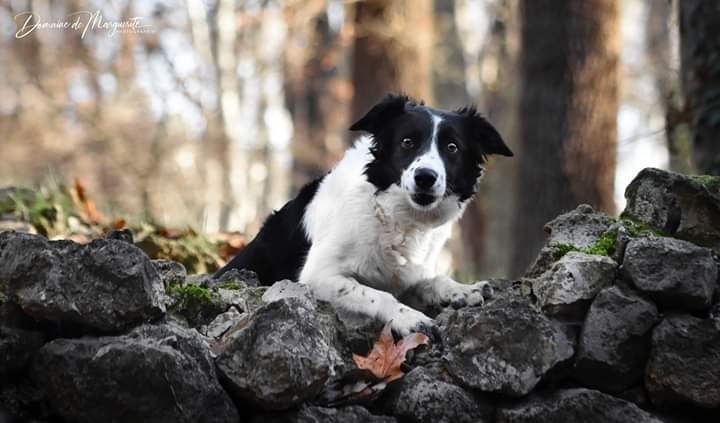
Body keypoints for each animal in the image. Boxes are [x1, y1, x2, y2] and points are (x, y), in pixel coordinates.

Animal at [217, 94, 516, 336]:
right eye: (407, 142)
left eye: (452, 147)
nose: (425, 177)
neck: (394, 214)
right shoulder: (318, 275)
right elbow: (378, 295)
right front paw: (409, 318)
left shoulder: (408, 274)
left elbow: (431, 280)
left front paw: (462, 289)